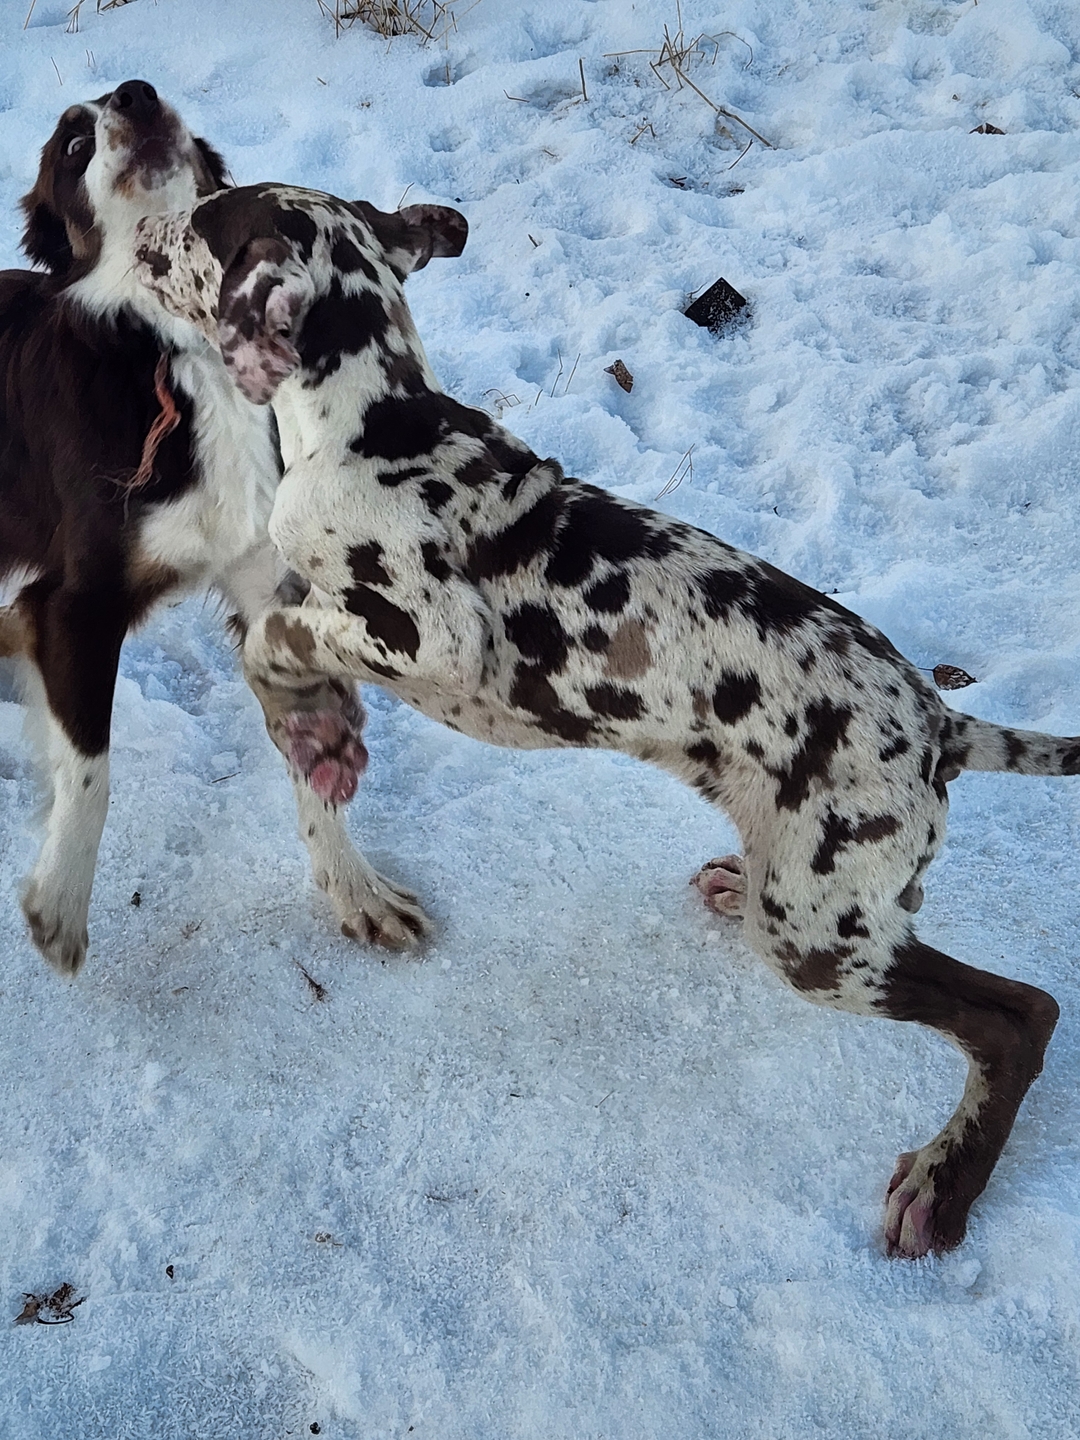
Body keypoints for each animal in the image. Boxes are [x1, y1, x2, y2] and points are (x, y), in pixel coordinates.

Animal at [0, 87, 432, 967]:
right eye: (71, 144)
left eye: (167, 108)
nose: (136, 95)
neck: (185, 352)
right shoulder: (72, 603)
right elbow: (91, 769)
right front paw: (60, 901)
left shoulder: (271, 579)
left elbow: (309, 742)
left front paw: (356, 888)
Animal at [135, 182, 1080, 1261]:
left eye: (203, 224)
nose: (138, 235)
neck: (375, 423)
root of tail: (939, 725)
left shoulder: (433, 634)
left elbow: (276, 636)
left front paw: (317, 730)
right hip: (826, 903)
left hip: (820, 936)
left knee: (1020, 1016)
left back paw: (944, 1185)